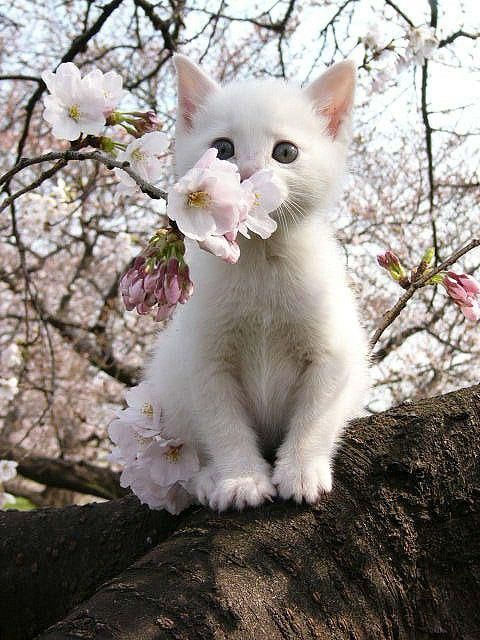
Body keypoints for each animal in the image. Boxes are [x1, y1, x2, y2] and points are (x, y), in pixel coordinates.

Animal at [144, 57, 370, 512]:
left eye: (285, 152)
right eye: (222, 149)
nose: (247, 174)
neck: (260, 259)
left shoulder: (334, 353)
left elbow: (316, 414)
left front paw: (301, 470)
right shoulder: (203, 360)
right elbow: (222, 423)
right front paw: (240, 479)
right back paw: (205, 479)